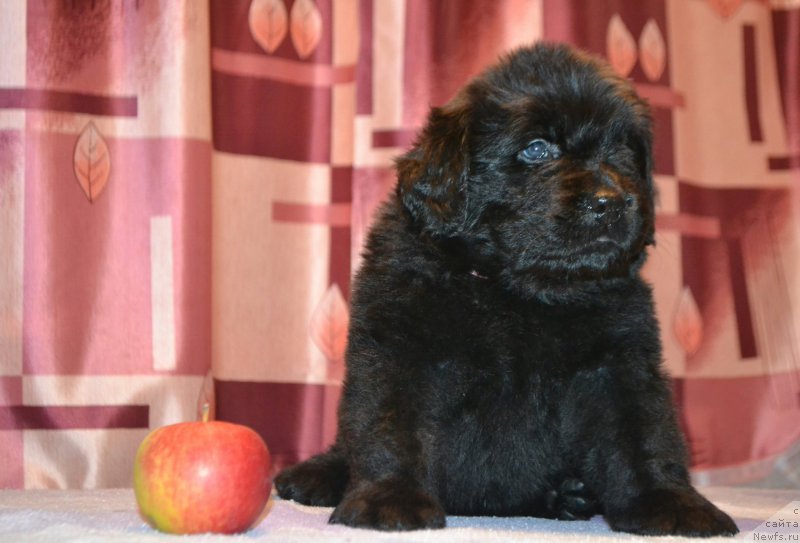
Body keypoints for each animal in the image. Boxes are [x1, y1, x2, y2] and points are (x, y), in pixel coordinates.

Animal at [276, 41, 736, 536]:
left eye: (624, 149)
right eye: (536, 149)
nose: (610, 203)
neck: (515, 290)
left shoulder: (619, 362)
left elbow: (645, 434)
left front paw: (670, 503)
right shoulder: (400, 347)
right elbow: (390, 426)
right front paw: (390, 499)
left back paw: (566, 496)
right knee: (347, 445)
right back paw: (314, 475)